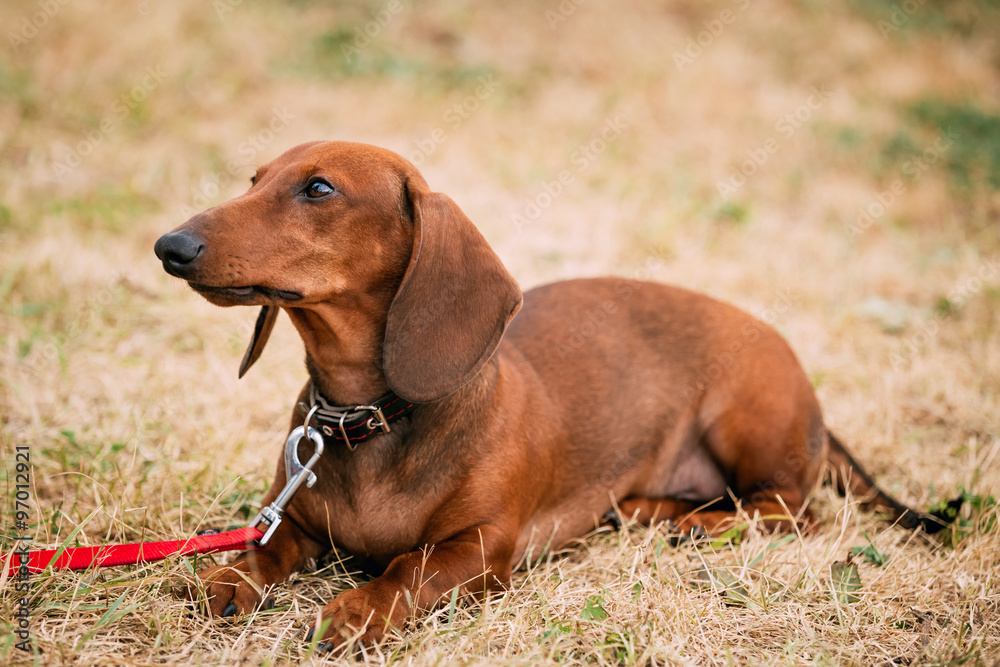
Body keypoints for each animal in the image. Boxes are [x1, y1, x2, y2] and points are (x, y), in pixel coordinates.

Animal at [152, 142, 956, 652]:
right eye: (254, 179)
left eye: (318, 188)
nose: (170, 246)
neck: (367, 417)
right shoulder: (293, 517)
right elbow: (265, 544)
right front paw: (229, 579)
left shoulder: (480, 549)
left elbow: (406, 572)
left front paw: (354, 610)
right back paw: (654, 512)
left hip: (746, 418)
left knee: (795, 509)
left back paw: (707, 526)